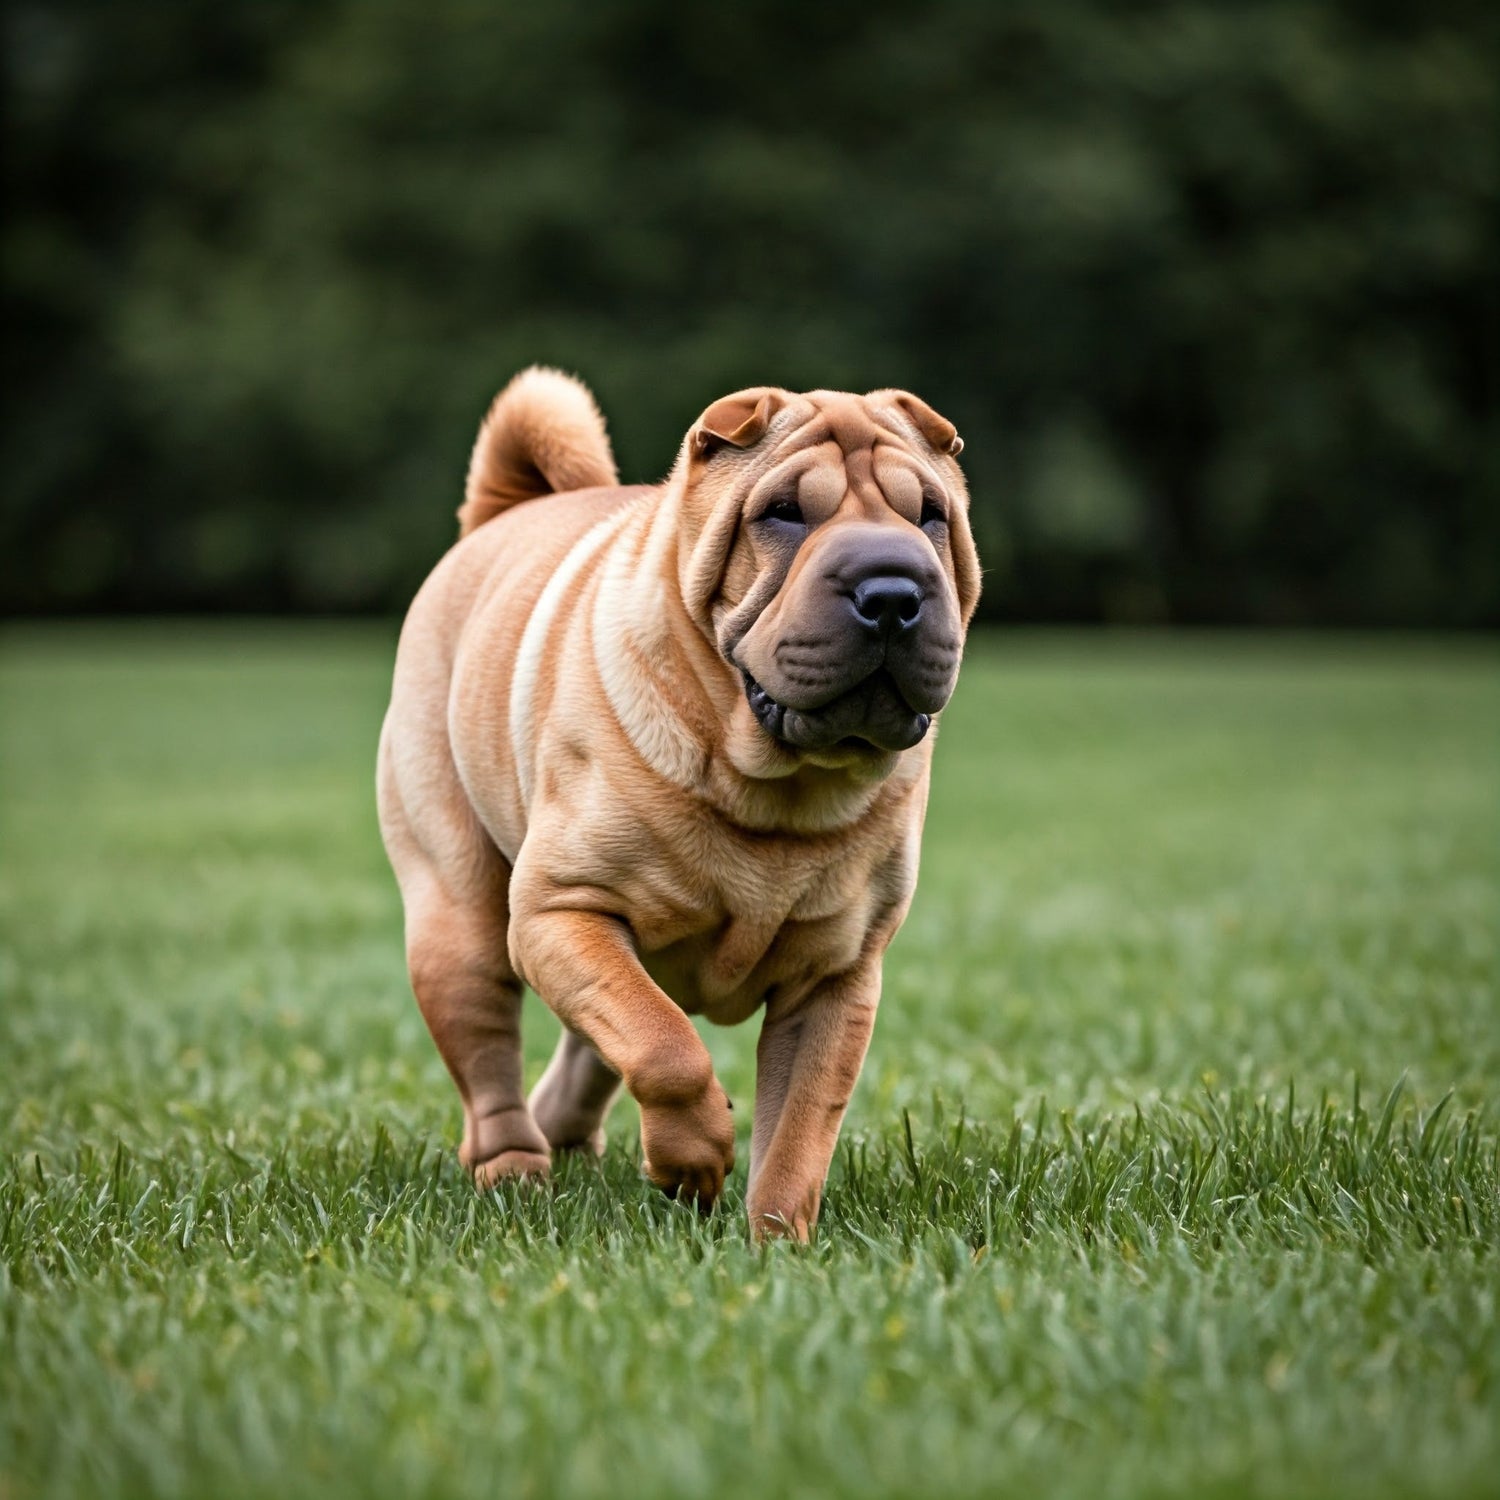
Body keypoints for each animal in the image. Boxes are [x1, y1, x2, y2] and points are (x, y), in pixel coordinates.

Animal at [381, 369, 978, 1236]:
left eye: (930, 514)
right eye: (783, 512)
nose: (893, 592)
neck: (780, 790)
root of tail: (501, 515)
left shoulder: (835, 977)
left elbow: (800, 1125)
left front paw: (777, 1239)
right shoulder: (562, 909)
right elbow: (663, 1046)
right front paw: (693, 1164)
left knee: (588, 1044)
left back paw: (564, 1136)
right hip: (457, 915)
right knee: (494, 1049)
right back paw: (515, 1169)